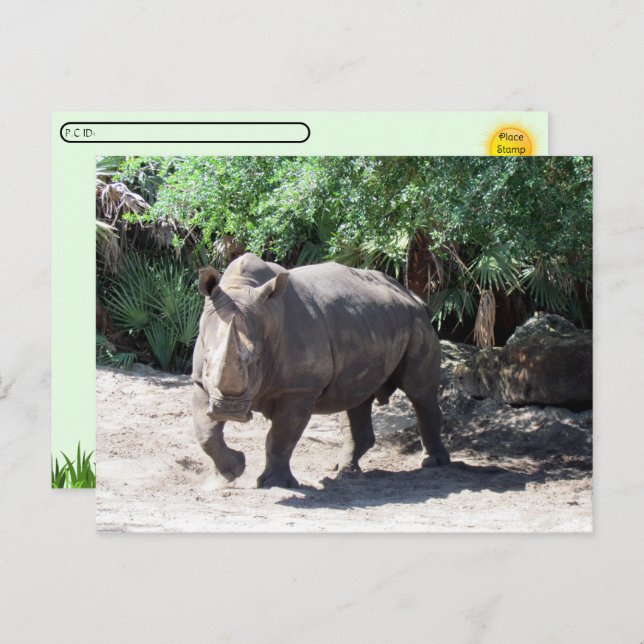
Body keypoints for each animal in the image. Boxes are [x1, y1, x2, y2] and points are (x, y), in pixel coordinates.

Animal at [192, 253, 450, 489]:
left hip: (416, 323)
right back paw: (345, 472)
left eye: (256, 362)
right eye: (206, 362)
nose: (229, 410)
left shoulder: (300, 389)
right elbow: (206, 433)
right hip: (370, 324)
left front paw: (274, 485)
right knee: (355, 397)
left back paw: (433, 463)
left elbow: (280, 437)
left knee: (419, 392)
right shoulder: (200, 383)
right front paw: (227, 475)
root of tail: (412, 296)